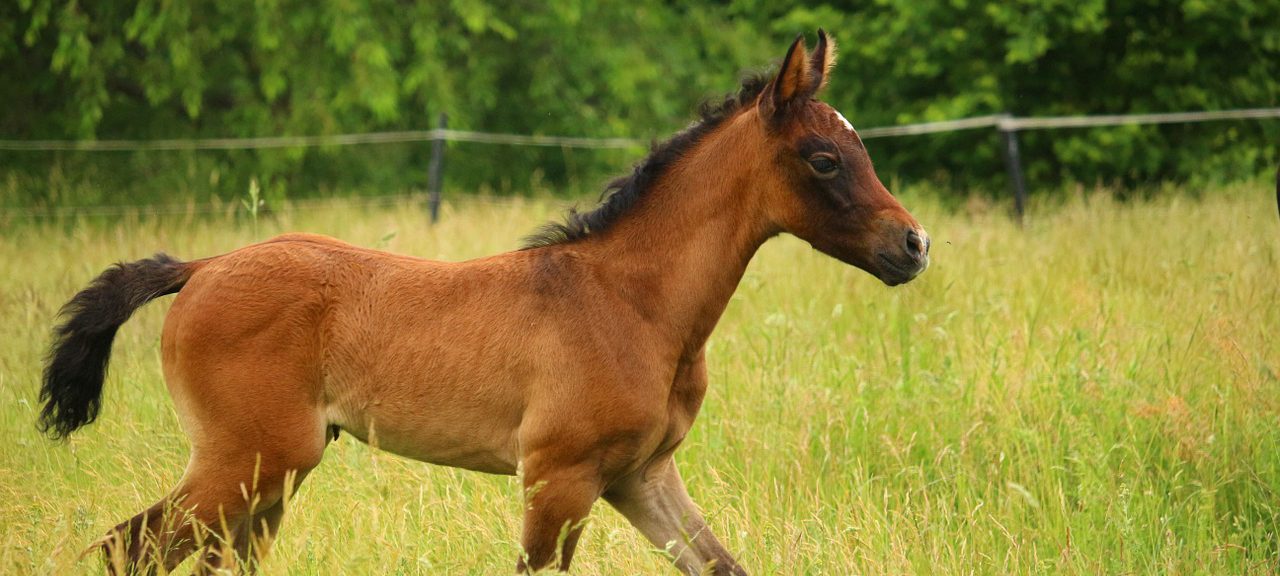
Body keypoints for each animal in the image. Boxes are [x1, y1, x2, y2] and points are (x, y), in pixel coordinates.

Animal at [40, 31, 931, 576]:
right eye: (823, 159)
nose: (914, 244)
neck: (630, 304)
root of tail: (204, 266)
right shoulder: (559, 478)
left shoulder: (642, 476)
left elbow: (721, 562)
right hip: (244, 463)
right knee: (125, 549)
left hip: (270, 477)